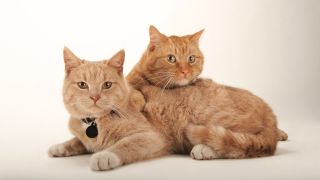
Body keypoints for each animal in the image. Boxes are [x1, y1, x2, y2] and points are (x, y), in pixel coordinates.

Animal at [127, 25, 288, 159]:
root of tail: (268, 111)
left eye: (191, 59)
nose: (185, 71)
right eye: (171, 58)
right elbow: (132, 89)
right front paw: (137, 99)